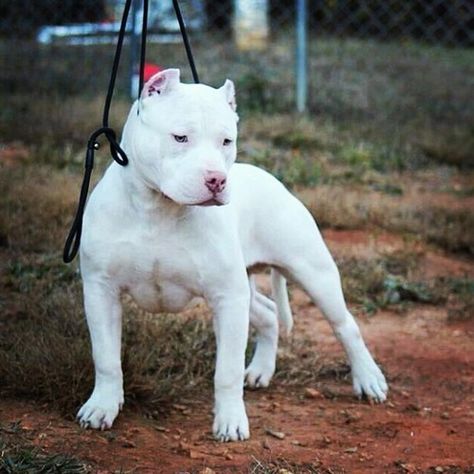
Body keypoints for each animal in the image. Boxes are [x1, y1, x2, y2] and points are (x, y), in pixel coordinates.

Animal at [78, 68, 388, 442]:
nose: (216, 180)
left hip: (312, 274)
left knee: (345, 325)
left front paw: (230, 421)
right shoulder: (101, 291)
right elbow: (106, 358)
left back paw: (368, 378)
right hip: (247, 290)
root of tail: (271, 178)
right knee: (268, 314)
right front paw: (102, 406)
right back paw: (260, 371)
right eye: (180, 137)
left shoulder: (227, 297)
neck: (158, 208)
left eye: (226, 141)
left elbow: (226, 370)